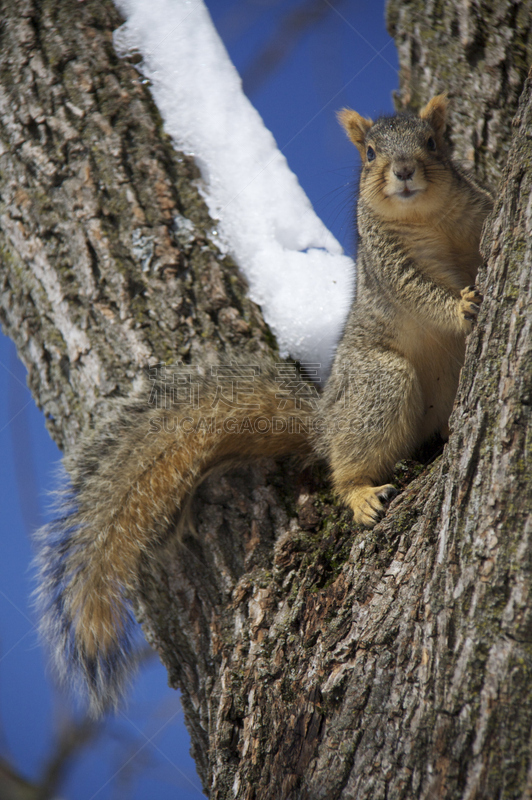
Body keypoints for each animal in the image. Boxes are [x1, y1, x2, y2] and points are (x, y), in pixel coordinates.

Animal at [36, 94, 494, 712]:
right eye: (370, 152)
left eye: (432, 143)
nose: (403, 172)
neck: (428, 218)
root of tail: (324, 420)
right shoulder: (388, 266)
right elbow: (421, 295)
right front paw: (461, 306)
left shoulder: (475, 210)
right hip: (381, 383)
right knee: (345, 462)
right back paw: (360, 493)